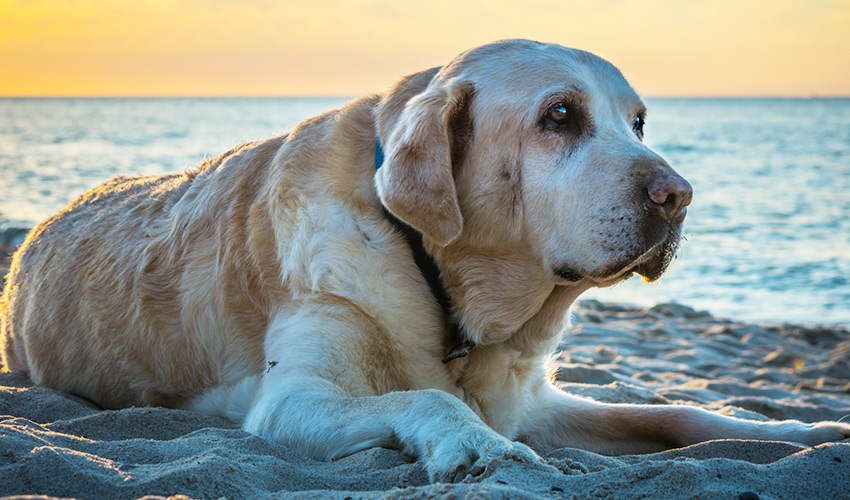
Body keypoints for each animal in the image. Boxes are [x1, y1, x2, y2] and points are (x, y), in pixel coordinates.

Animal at [1, 40, 848, 484]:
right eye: (560, 115)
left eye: (637, 121)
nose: (679, 196)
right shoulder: (293, 400)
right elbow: (428, 398)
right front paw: (474, 444)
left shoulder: (536, 401)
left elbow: (680, 413)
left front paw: (806, 432)